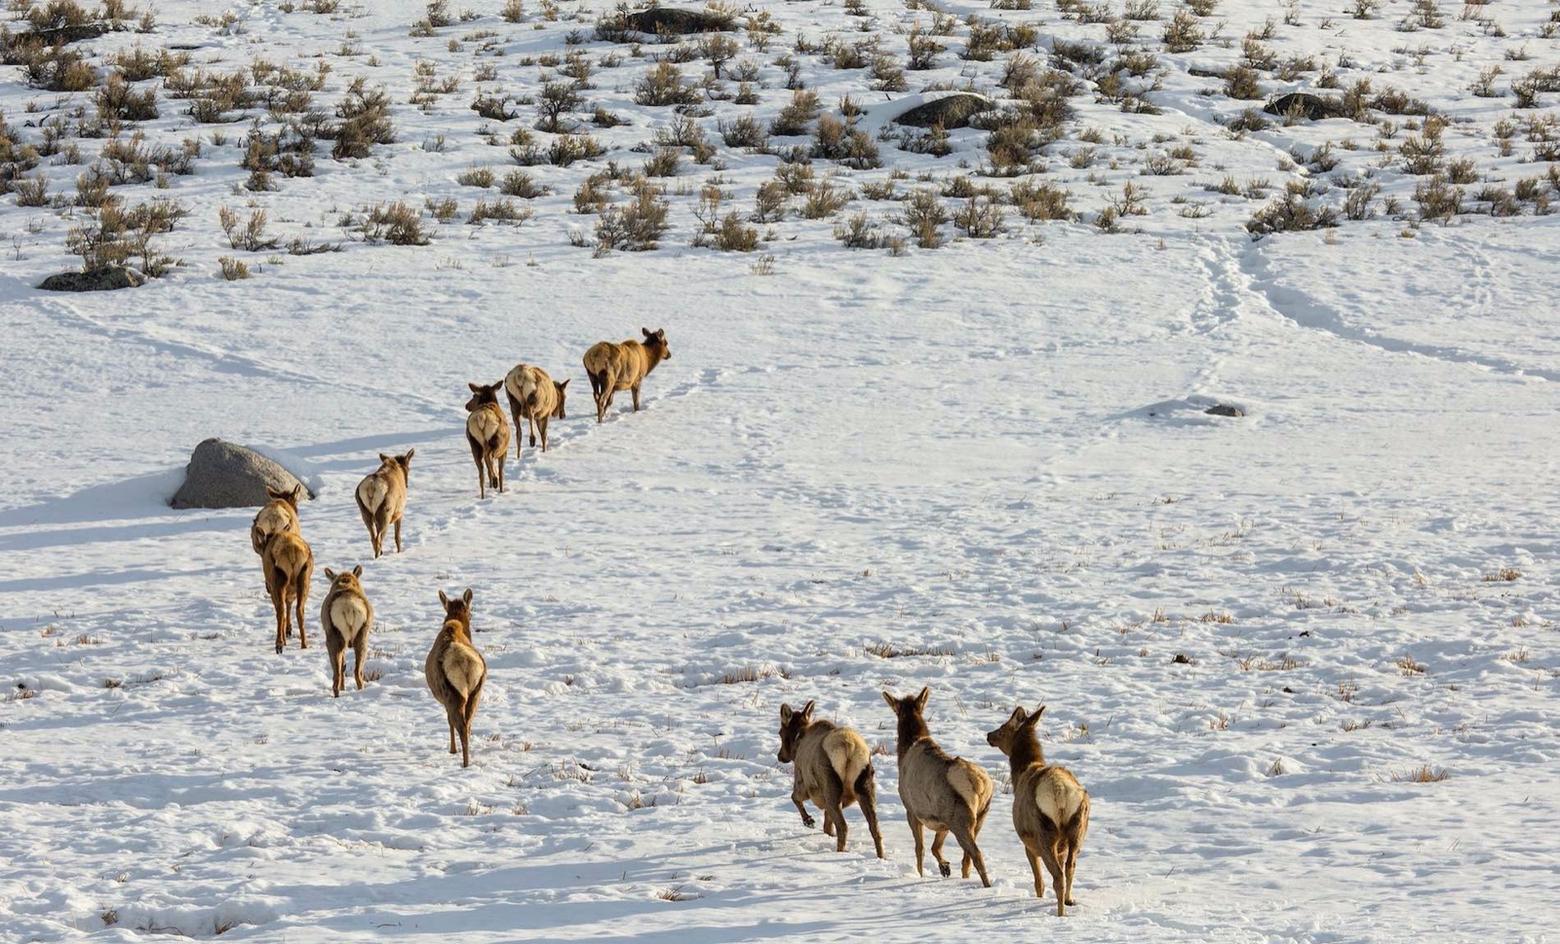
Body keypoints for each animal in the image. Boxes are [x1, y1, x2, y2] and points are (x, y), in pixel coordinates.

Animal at [424, 589, 483, 764]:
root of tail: (464, 662)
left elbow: (449, 721)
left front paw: (452, 750)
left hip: (452, 693)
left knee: (460, 726)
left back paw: (464, 763)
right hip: (475, 692)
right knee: (468, 723)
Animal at [773, 699, 886, 855]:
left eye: (780, 732)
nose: (780, 756)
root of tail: (849, 746)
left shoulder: (803, 782)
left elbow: (794, 797)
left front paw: (809, 821)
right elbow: (827, 824)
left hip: (830, 785)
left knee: (843, 826)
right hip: (864, 786)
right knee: (875, 828)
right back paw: (881, 856)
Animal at [886, 683, 992, 886]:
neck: (906, 748)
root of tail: (981, 785)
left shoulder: (911, 810)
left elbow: (920, 849)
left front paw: (922, 875)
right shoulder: (942, 822)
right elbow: (935, 847)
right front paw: (945, 868)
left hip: (960, 819)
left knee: (976, 854)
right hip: (980, 816)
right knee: (966, 859)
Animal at [979, 702, 1092, 911]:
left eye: (1003, 727)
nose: (989, 735)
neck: (1021, 772)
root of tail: (1060, 792)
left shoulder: (1028, 843)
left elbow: (1039, 882)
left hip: (1043, 832)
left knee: (1057, 877)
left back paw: (1060, 913)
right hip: (1078, 828)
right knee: (1070, 867)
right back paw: (1069, 900)